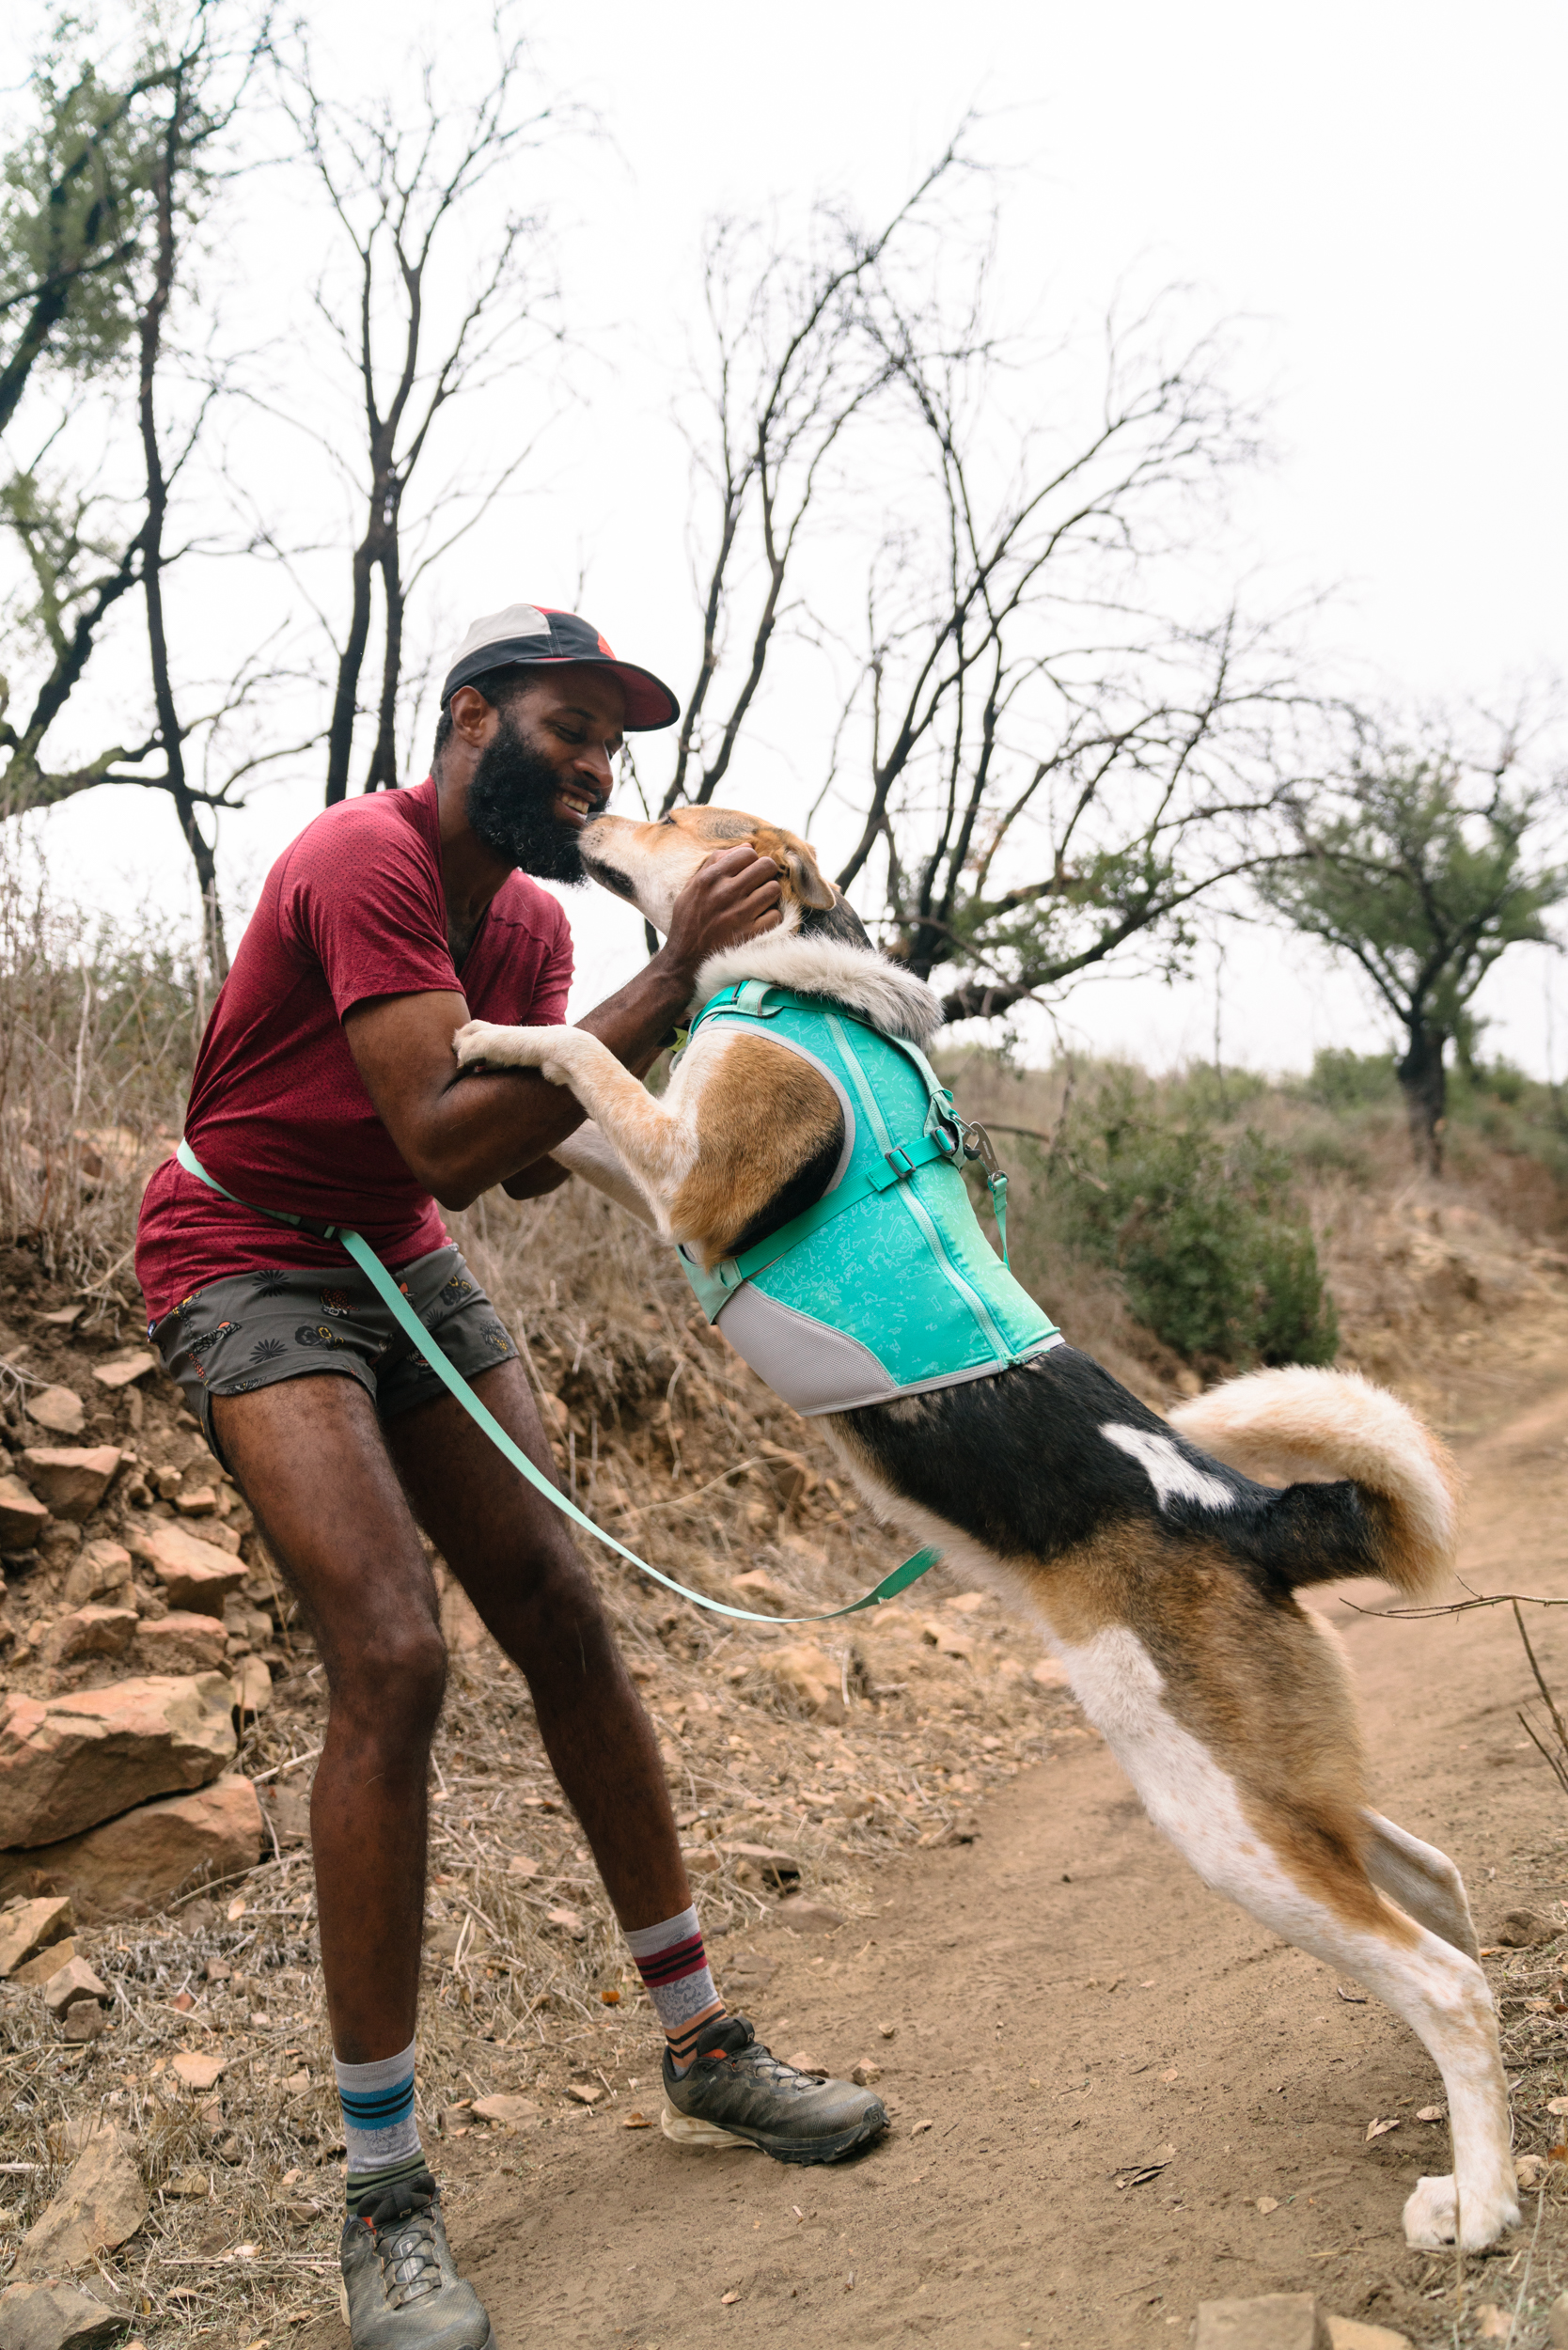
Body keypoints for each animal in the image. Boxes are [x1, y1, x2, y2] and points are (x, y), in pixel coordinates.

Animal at [453, 808, 1523, 2256]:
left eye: (675, 820)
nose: (583, 821)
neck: (802, 973)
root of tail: (1248, 1512)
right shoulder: (652, 1175)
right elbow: (578, 1129)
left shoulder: (696, 1180)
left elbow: (580, 1057)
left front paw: (493, 1027)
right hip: (1280, 1787)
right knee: (1443, 1901)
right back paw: (1464, 2142)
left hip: (1221, 1812)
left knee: (1446, 1979)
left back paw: (1483, 2207)